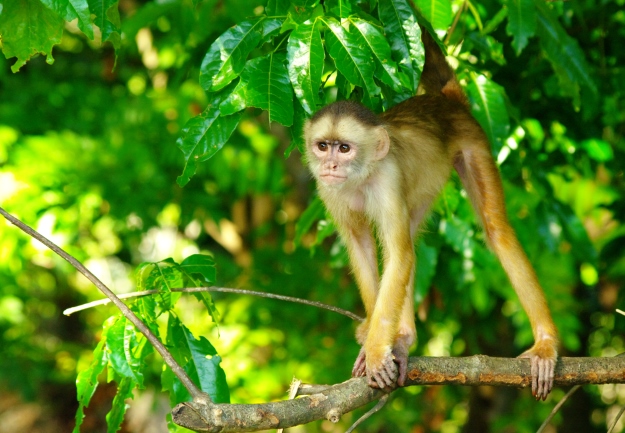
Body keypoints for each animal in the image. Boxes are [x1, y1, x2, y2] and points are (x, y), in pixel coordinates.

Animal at [302, 26, 556, 398]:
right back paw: (403, 338)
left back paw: (546, 345)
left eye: (344, 148)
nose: (330, 164)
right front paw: (376, 338)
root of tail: (444, 101)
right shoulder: (327, 190)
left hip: (474, 143)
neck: (361, 176)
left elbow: (398, 256)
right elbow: (364, 247)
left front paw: (376, 351)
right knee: (409, 236)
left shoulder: (388, 179)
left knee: (495, 231)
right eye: (323, 146)